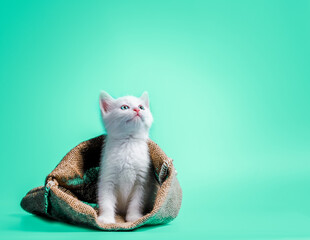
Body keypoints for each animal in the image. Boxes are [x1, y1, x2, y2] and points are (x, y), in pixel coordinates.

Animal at [97, 91, 157, 224]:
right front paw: (106, 218)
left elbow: (137, 202)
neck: (129, 143)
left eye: (141, 107)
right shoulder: (107, 177)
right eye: (124, 107)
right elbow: (106, 199)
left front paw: (134, 217)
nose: (137, 109)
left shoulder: (143, 181)